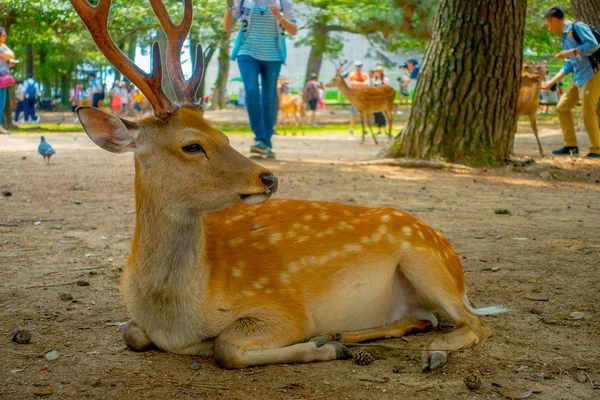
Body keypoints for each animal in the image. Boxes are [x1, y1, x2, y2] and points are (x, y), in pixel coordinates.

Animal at [72, 0, 508, 372]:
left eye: (224, 136)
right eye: (192, 144)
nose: (268, 177)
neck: (174, 316)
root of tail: (455, 265)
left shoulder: (284, 307)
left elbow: (225, 347)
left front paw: (316, 348)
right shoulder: (138, 322)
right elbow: (130, 333)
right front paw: (326, 344)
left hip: (425, 260)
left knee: (474, 323)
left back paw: (426, 352)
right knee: (425, 319)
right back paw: (343, 336)